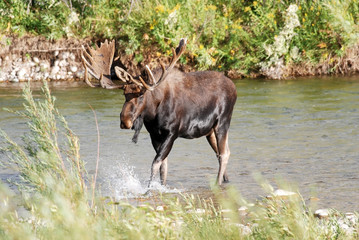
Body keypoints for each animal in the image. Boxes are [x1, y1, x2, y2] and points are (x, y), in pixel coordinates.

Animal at [82, 39, 238, 186]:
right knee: (219, 153)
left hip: (223, 122)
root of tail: (234, 87)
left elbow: (155, 163)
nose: (125, 121)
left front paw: (148, 189)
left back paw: (218, 183)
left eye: (141, 95)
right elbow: (164, 165)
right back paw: (226, 180)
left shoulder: (172, 132)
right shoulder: (154, 135)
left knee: (224, 154)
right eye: (124, 94)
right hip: (209, 131)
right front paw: (161, 186)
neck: (153, 115)